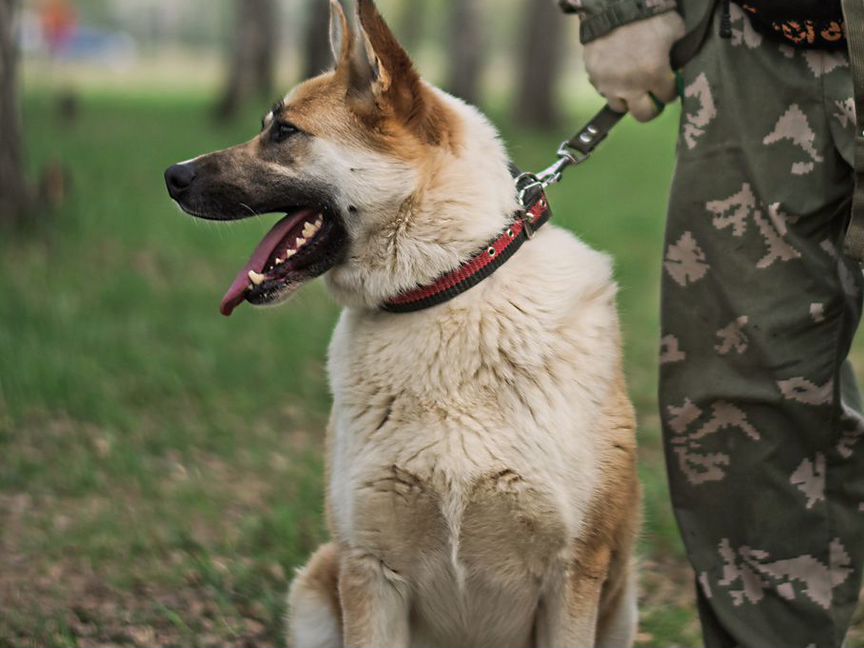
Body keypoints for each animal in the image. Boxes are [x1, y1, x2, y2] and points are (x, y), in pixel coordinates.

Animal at [167, 2, 640, 644]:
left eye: (284, 132)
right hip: (316, 584)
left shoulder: (573, 576)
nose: (172, 176)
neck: (442, 294)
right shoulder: (367, 567)